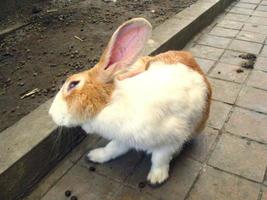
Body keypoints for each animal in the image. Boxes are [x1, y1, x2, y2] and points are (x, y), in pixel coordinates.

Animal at [49, 17, 213, 184]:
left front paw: (156, 178)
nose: (51, 113)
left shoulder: (168, 142)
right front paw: (95, 156)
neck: (110, 105)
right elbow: (112, 148)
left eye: (73, 84)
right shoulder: (123, 138)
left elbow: (159, 159)